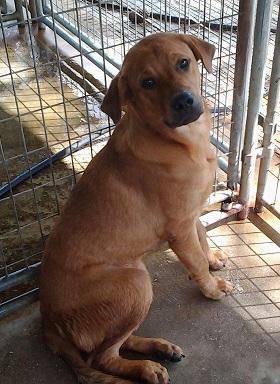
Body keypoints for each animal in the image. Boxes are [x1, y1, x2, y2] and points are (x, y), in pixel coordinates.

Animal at [39, 33, 232, 384]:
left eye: (183, 63)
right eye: (148, 83)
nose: (184, 102)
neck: (183, 140)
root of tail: (48, 322)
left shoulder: (191, 213)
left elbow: (203, 238)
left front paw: (213, 260)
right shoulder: (179, 227)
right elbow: (195, 261)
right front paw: (211, 289)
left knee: (113, 344)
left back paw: (160, 349)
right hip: (136, 282)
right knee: (102, 357)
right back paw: (145, 367)